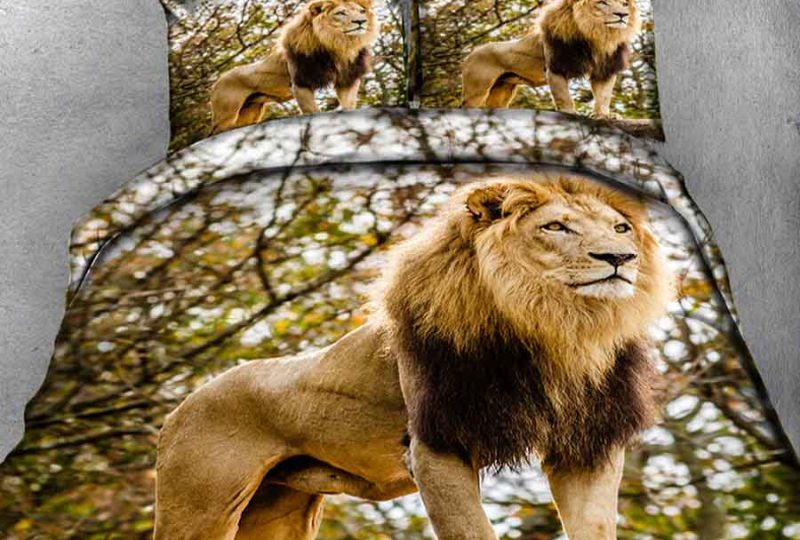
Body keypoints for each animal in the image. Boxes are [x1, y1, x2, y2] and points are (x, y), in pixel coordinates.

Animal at [154, 175, 672, 540]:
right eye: (556, 227)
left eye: (621, 227)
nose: (620, 258)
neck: (557, 328)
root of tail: (179, 407)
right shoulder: (436, 445)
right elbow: (471, 532)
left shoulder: (587, 446)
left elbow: (595, 527)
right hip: (199, 508)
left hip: (276, 512)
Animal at [209, 0, 377, 134]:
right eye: (341, 13)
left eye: (361, 11)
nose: (361, 21)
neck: (338, 44)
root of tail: (217, 81)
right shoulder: (301, 83)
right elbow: (312, 112)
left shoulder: (347, 80)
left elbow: (348, 107)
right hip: (226, 116)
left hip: (250, 112)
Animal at [462, 0, 640, 118]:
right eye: (603, 3)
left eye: (624, 4)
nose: (623, 15)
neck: (597, 35)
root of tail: (471, 52)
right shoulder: (555, 67)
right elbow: (563, 96)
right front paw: (570, 113)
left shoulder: (604, 70)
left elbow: (603, 96)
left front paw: (603, 115)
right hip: (476, 91)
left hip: (502, 90)